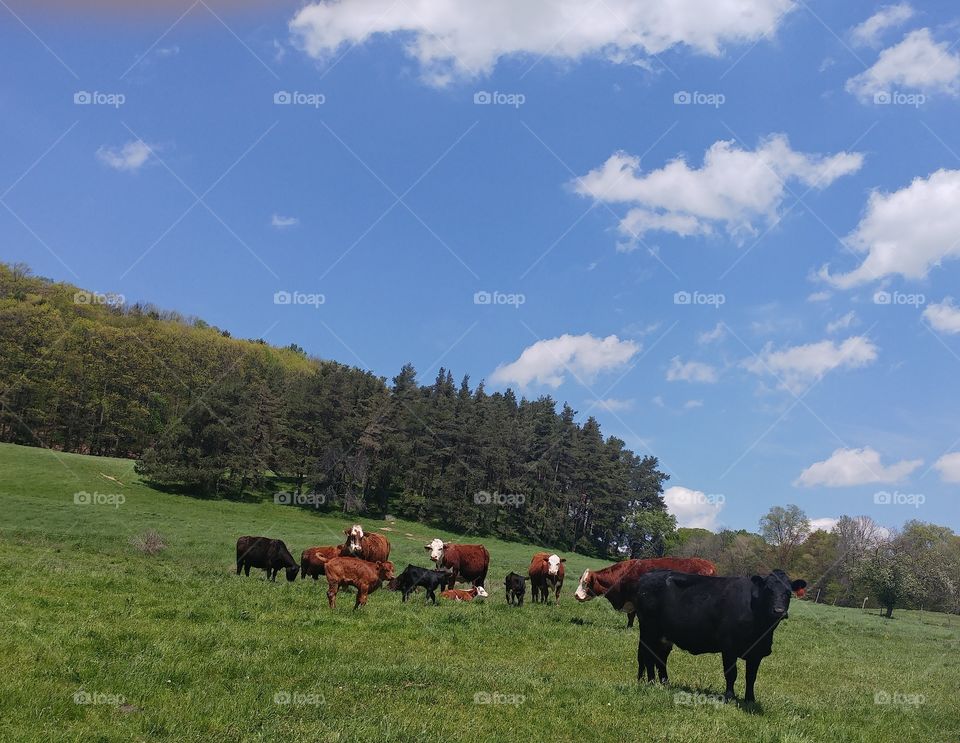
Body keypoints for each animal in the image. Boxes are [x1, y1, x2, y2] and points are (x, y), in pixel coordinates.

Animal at [574, 557, 717, 627]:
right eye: (580, 580)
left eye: (586, 583)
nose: (576, 595)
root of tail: (709, 565)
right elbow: (630, 616)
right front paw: (629, 627)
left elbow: (635, 615)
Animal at [605, 569, 807, 702]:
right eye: (768, 590)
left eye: (788, 592)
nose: (779, 611)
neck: (761, 628)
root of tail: (649, 575)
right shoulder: (729, 647)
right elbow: (731, 674)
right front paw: (730, 697)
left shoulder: (757, 652)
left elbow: (751, 677)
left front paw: (750, 699)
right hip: (649, 630)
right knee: (647, 657)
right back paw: (651, 682)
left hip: (664, 635)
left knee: (660, 658)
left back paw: (664, 683)